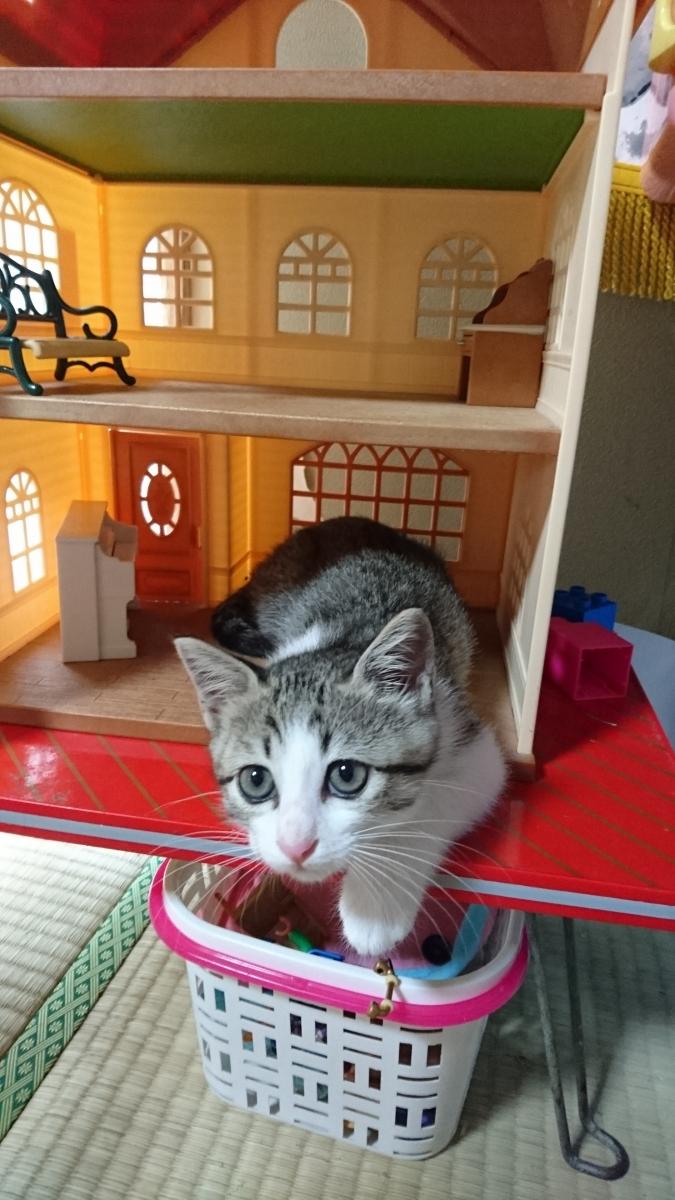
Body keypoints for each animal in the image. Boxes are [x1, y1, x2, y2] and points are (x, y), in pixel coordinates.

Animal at [176, 516, 506, 958]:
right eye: (255, 780)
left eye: (347, 775)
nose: (295, 847)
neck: (339, 643)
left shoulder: (472, 746)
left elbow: (436, 803)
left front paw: (375, 905)